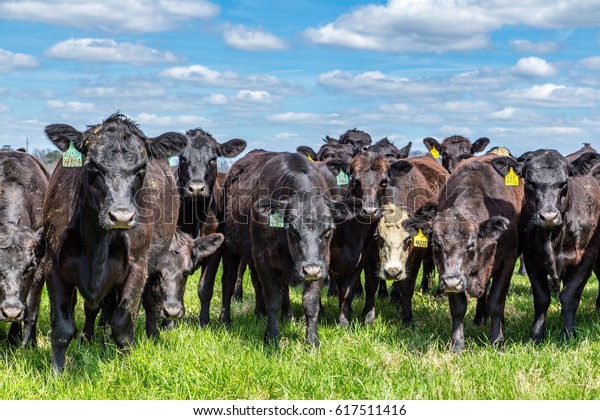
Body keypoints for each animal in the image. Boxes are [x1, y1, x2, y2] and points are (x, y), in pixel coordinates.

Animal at [41, 114, 186, 370]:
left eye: (142, 167)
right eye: (91, 165)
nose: (121, 216)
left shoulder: (137, 267)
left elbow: (123, 326)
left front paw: (125, 367)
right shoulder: (53, 266)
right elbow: (61, 328)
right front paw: (57, 372)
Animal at [404, 154, 524, 352]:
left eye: (471, 244)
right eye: (436, 244)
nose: (452, 282)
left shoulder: (508, 261)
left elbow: (496, 302)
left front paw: (497, 340)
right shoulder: (448, 273)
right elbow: (458, 307)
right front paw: (457, 344)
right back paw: (480, 317)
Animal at [492, 150, 600, 342]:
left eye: (564, 182)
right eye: (529, 182)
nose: (548, 216)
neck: (553, 238)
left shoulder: (587, 257)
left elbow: (570, 295)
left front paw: (568, 334)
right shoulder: (531, 258)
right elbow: (541, 298)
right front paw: (536, 335)